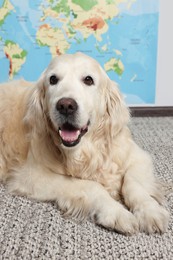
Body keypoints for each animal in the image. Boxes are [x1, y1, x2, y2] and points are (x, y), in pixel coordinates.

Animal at [0, 52, 168, 234]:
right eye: (53, 79)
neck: (84, 151)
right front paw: (116, 212)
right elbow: (91, 186)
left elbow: (133, 182)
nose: (65, 105)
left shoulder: (139, 157)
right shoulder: (31, 175)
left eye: (88, 80)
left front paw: (150, 210)